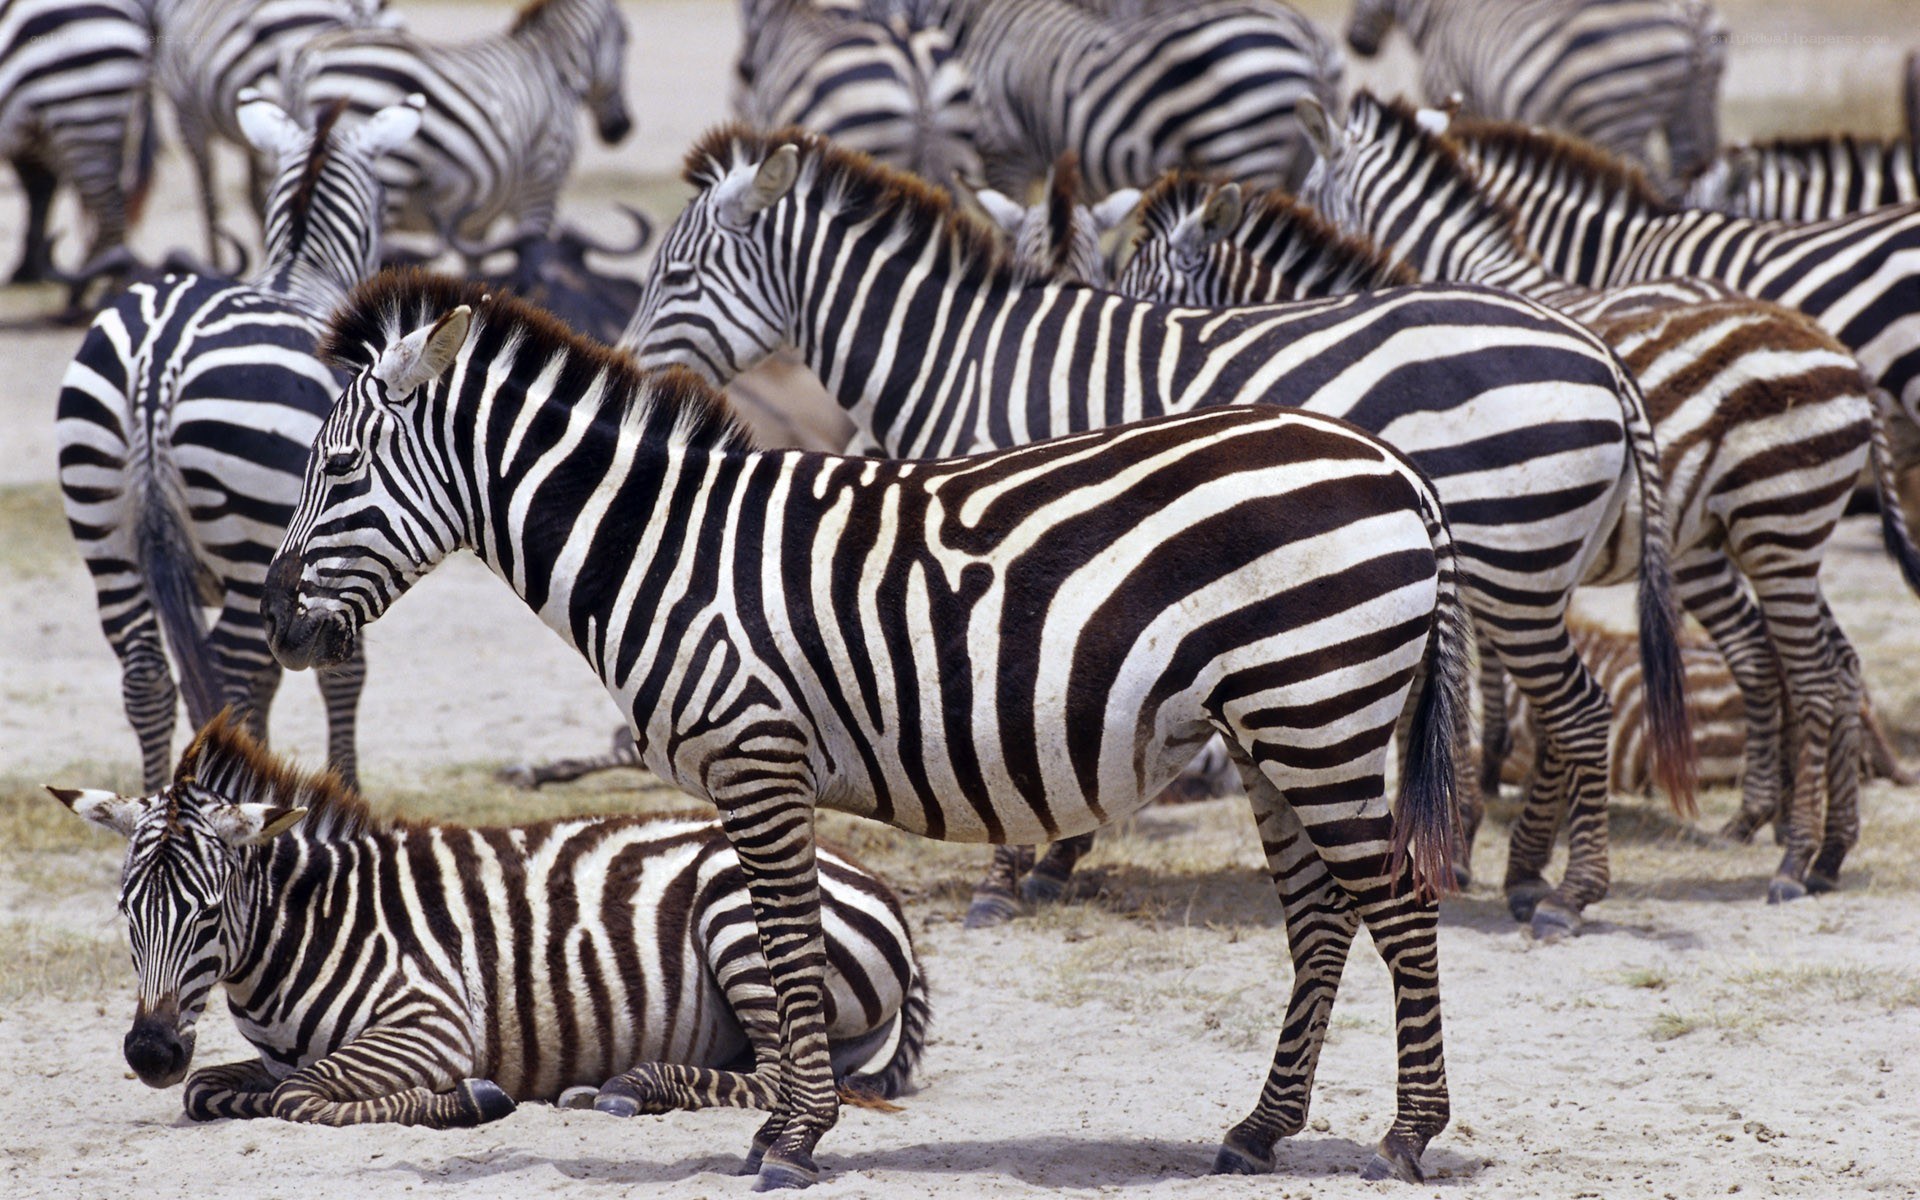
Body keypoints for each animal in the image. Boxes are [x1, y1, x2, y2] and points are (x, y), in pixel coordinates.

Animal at [51, 710, 929, 1126]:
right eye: (126, 912)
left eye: (205, 913)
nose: (150, 1053)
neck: (314, 925)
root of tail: (874, 881)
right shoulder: (260, 1059)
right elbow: (213, 1090)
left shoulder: (432, 1024)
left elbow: (300, 1095)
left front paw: (467, 1101)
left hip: (737, 925)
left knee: (784, 1075)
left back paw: (629, 1085)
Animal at [55, 91, 421, 790]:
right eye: (388, 201)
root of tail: (160, 357)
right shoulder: (334, 551)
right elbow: (341, 674)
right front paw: (341, 787)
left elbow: (272, 679)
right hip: (248, 532)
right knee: (224, 675)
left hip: (104, 529)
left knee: (147, 677)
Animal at [262, 271, 1473, 1186]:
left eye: (340, 467)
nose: (274, 617)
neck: (662, 552)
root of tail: (1389, 462)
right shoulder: (756, 770)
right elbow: (783, 945)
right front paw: (787, 1125)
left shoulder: (758, 755)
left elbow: (791, 947)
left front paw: (794, 1140)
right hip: (1279, 729)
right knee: (1320, 924)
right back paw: (1259, 1130)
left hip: (1318, 711)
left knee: (1400, 908)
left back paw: (1408, 1135)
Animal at [282, 0, 631, 269]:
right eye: (626, 38)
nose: (621, 128)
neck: (552, 65)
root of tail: (314, 57)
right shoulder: (543, 185)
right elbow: (532, 268)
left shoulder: (478, 219)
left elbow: (477, 267)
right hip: (385, 172)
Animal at [619, 125, 1697, 939]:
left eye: (675, 274)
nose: (626, 372)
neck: (960, 358)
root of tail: (1596, 353)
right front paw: (1051, 861)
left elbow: (1003, 707)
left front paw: (1008, 876)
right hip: (1518, 569)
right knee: (1555, 713)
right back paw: (1521, 877)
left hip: (1512, 561)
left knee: (1581, 711)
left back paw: (1567, 895)